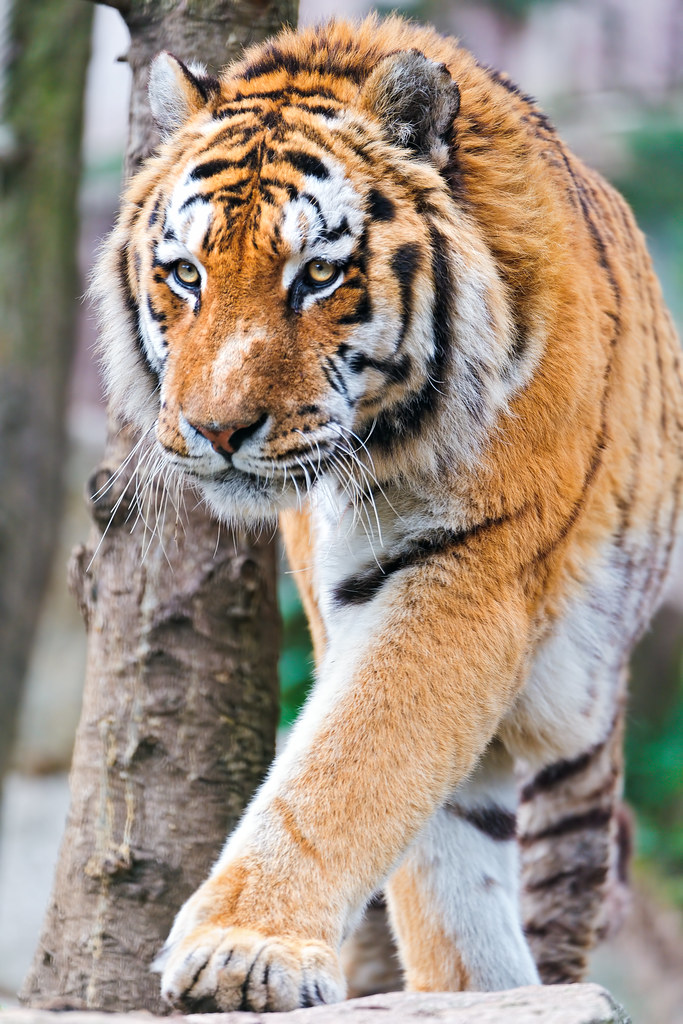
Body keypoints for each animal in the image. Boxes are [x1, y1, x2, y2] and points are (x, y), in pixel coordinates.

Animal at [93, 13, 683, 1013]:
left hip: (577, 722)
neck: (383, 445)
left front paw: (242, 949)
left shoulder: (469, 570)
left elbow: (351, 759)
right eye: (184, 274)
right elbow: (410, 820)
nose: (216, 430)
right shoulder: (350, 596)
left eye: (318, 275)